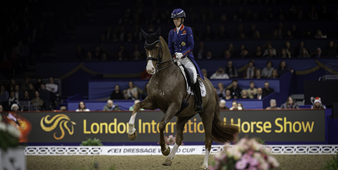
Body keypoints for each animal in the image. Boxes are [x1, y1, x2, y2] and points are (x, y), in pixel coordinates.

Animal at [128, 28, 239, 169]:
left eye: (157, 47)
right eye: (145, 47)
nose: (150, 69)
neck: (163, 76)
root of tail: (210, 85)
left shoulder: (173, 105)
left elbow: (161, 124)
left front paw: (165, 149)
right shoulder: (153, 103)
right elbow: (137, 105)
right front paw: (131, 132)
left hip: (207, 115)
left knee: (208, 140)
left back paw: (204, 164)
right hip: (183, 116)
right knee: (180, 138)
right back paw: (169, 159)